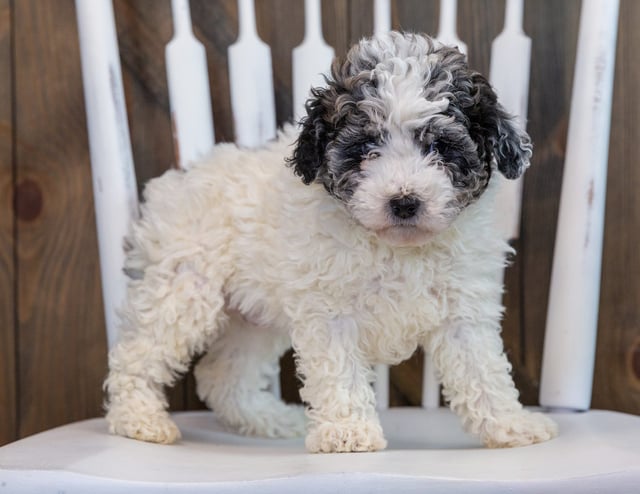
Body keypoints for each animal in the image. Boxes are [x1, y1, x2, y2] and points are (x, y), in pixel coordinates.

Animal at [105, 31, 556, 452]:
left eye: (441, 147)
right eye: (366, 146)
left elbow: (483, 371)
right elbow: (340, 370)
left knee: (223, 375)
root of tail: (174, 184)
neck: (396, 248)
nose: (404, 202)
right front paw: (348, 432)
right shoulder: (330, 311)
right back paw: (138, 420)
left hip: (253, 317)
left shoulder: (463, 311)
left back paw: (269, 420)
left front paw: (512, 426)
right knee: (138, 355)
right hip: (182, 290)